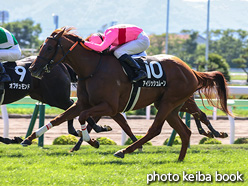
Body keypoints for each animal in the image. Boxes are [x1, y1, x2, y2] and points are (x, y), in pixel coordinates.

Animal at [24, 26, 231, 161]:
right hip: (170, 105)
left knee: (155, 129)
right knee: (185, 131)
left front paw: (93, 141)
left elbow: (84, 118)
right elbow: (59, 118)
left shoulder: (109, 106)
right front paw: (28, 139)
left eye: (49, 47)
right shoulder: (83, 103)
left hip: (168, 102)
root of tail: (191, 71)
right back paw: (180, 159)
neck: (93, 67)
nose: (33, 69)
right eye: (41, 47)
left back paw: (124, 151)